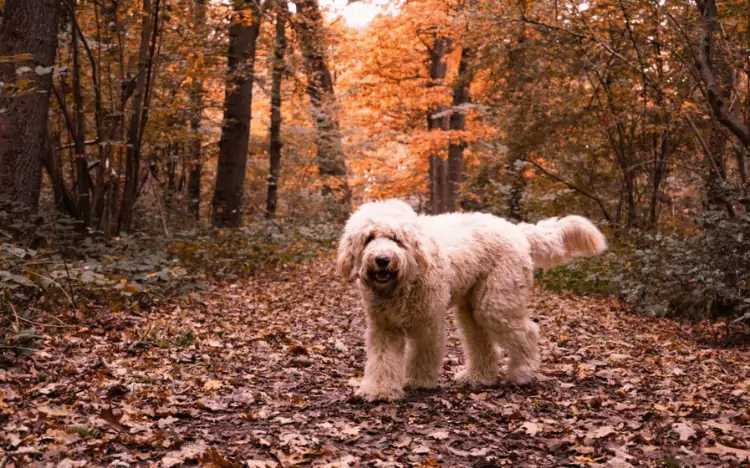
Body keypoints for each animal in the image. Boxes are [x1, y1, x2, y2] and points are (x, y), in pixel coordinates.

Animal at [338, 199, 608, 400]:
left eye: (396, 238)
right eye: (369, 238)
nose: (382, 259)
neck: (405, 279)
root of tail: (516, 230)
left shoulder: (428, 322)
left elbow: (424, 353)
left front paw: (419, 380)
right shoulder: (384, 327)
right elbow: (382, 359)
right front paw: (379, 390)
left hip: (496, 302)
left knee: (527, 332)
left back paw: (522, 373)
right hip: (472, 307)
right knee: (481, 341)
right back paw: (479, 376)